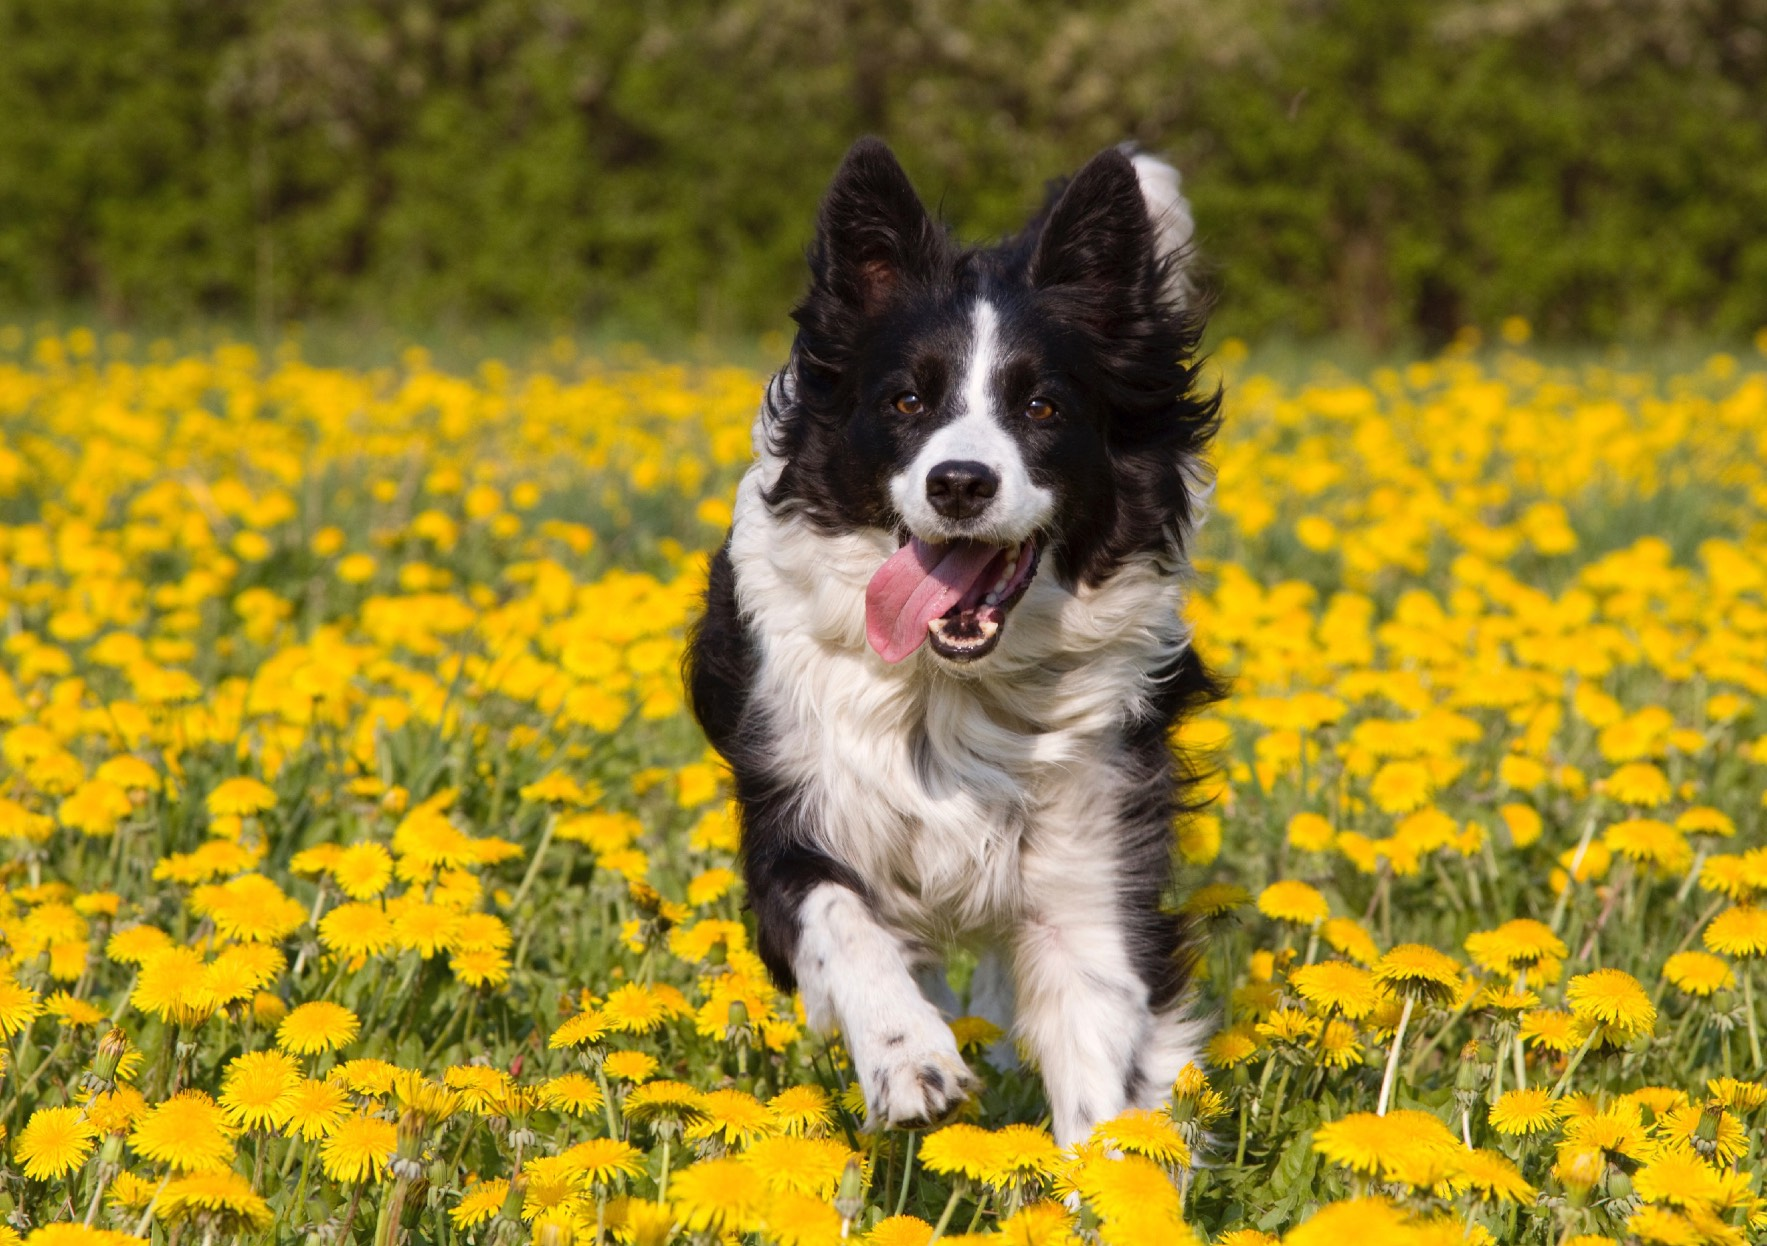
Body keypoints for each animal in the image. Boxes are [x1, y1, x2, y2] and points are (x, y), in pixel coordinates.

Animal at [682, 138, 1222, 1145]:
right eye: (905, 400)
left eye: (1042, 408)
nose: (960, 483)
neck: (952, 688)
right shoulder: (793, 808)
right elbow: (841, 921)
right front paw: (909, 1060)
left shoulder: (1090, 857)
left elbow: (1099, 1066)